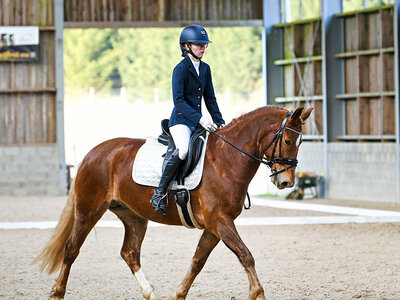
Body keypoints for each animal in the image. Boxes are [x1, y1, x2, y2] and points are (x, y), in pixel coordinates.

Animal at [34, 105, 312, 300]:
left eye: (300, 143)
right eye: (288, 141)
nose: (286, 182)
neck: (226, 160)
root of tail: (94, 152)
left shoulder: (215, 226)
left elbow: (198, 261)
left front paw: (179, 294)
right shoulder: (219, 221)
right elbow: (246, 255)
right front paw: (258, 293)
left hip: (134, 217)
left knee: (129, 253)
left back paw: (151, 293)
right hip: (88, 210)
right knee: (72, 248)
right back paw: (57, 293)